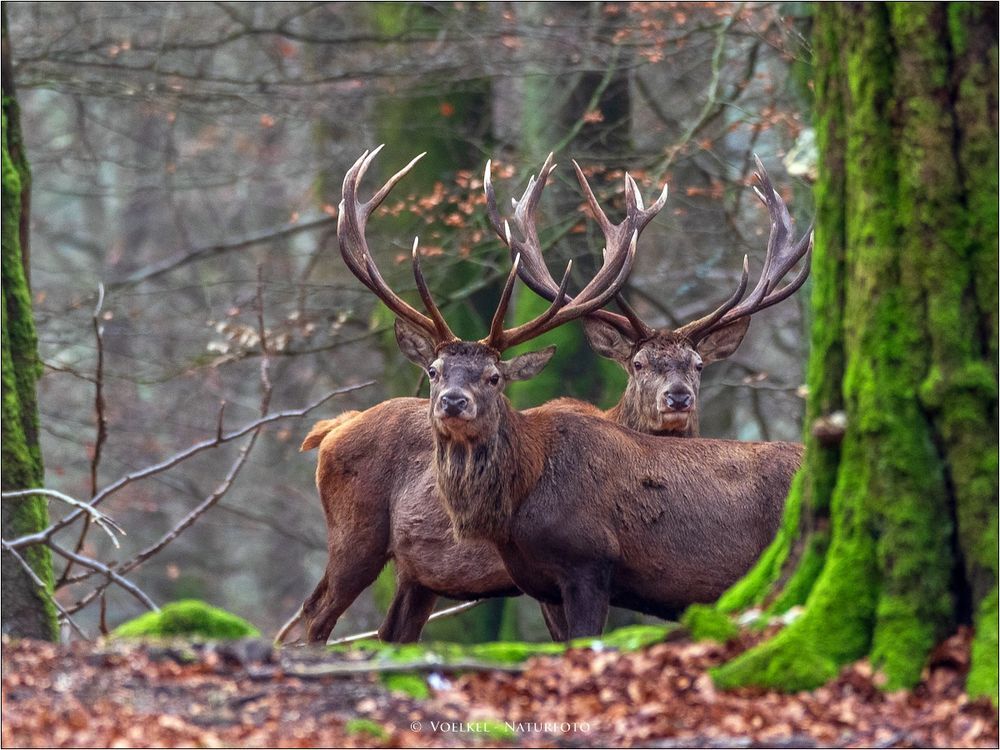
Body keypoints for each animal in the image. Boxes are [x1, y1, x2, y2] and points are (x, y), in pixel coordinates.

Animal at [282, 148, 668, 648]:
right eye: (433, 371)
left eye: (494, 377)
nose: (452, 401)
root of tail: (333, 429)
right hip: (355, 531)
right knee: (314, 616)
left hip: (415, 572)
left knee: (385, 629)